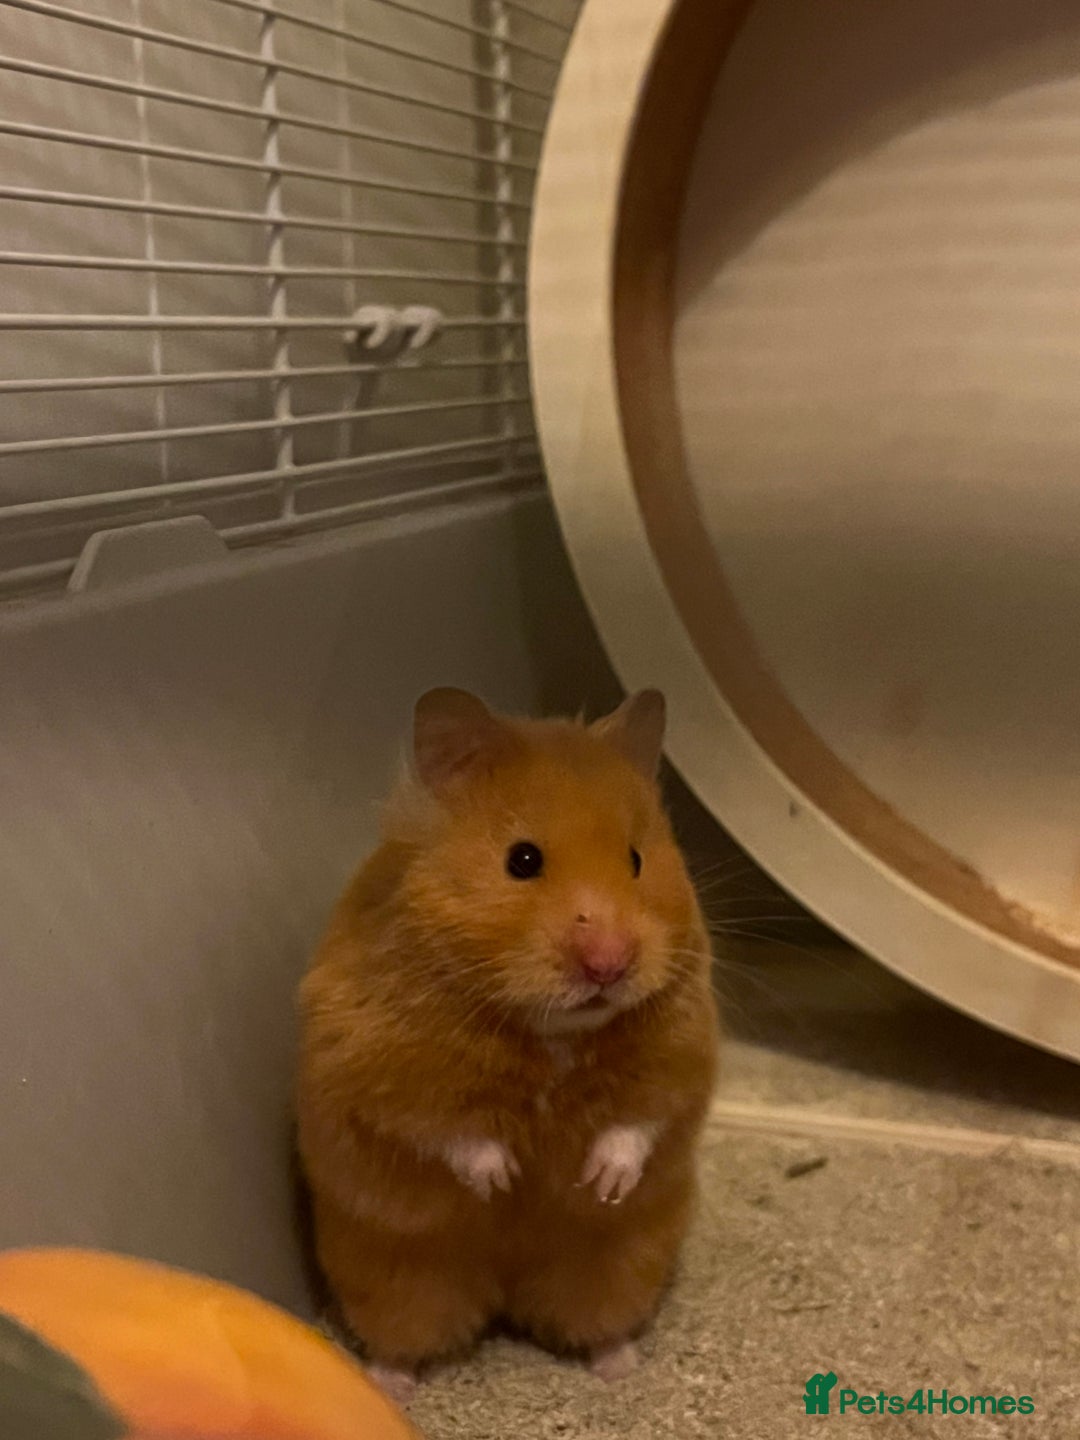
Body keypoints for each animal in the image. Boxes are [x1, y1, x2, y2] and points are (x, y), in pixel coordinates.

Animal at [295, 687, 720, 1403]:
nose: (609, 965)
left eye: (637, 860)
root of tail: (506, 1288)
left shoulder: (679, 1057)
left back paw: (618, 1367)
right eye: (522, 860)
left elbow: (636, 1123)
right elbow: (446, 1131)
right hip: (396, 1273)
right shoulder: (381, 1068)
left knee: (598, 1320)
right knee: (404, 1336)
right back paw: (390, 1385)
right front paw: (505, 1180)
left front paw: (600, 1182)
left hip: (615, 1264)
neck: (551, 1033)